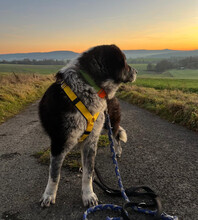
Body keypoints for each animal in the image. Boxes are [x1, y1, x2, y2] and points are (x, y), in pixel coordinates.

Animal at [39, 44, 138, 206]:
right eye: (124, 62)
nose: (136, 71)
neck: (88, 87)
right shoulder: (60, 141)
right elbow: (54, 174)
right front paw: (48, 195)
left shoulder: (91, 141)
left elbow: (88, 173)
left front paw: (88, 195)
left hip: (109, 124)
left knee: (116, 137)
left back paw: (117, 152)